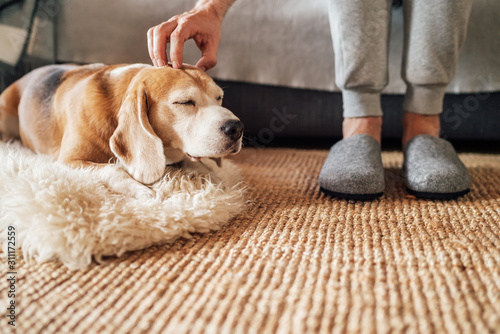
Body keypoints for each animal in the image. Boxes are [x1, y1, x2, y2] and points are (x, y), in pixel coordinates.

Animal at [0, 62, 244, 193]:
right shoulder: (68, 161)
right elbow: (113, 169)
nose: (237, 128)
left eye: (219, 98)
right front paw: (140, 190)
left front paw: (214, 178)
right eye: (184, 102)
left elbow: (194, 163)